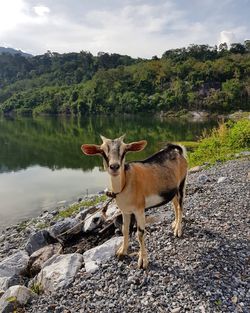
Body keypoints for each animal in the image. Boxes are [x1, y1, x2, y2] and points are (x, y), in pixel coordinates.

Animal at [81, 135, 188, 268]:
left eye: (125, 150)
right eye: (102, 151)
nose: (114, 167)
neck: (125, 184)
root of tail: (177, 151)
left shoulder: (139, 209)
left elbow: (140, 233)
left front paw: (143, 261)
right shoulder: (125, 211)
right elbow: (125, 230)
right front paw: (122, 251)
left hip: (182, 183)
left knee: (180, 205)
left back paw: (178, 230)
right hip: (171, 191)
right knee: (175, 204)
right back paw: (174, 223)